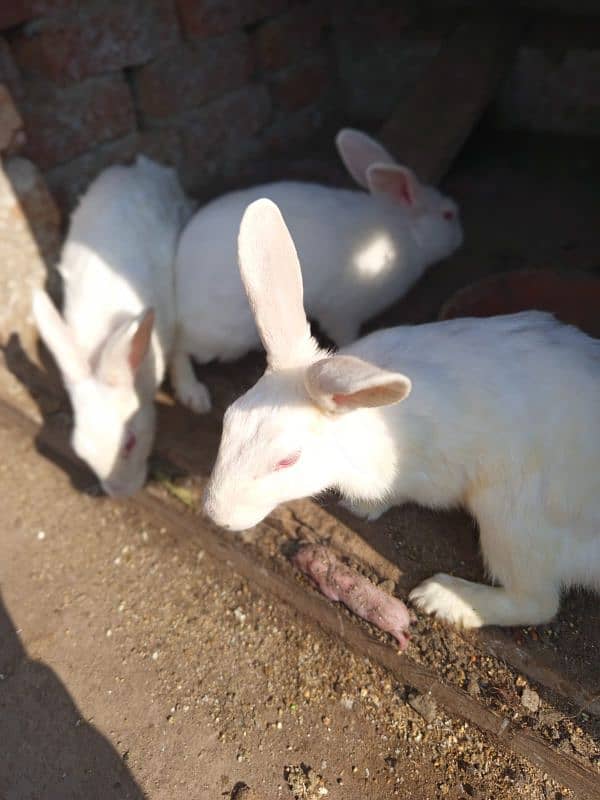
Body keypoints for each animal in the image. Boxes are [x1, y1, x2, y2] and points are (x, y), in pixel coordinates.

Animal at [32, 154, 192, 496]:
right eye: (79, 451)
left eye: (129, 443)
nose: (122, 494)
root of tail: (135, 168)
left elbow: (180, 353)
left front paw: (192, 395)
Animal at [171, 128, 462, 412]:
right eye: (448, 215)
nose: (462, 234)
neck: (407, 230)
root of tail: (180, 273)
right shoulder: (344, 313)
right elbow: (345, 334)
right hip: (227, 337)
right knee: (180, 345)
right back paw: (193, 394)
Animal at [205, 198, 600, 632]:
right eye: (227, 422)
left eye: (288, 460)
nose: (217, 516)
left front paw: (361, 509)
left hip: (512, 521)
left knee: (536, 602)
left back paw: (441, 598)